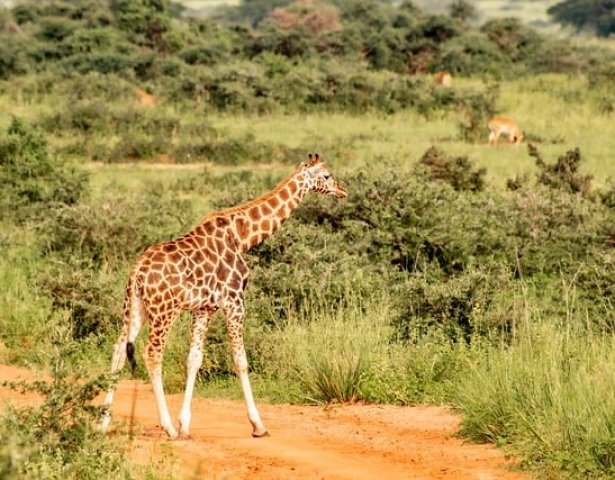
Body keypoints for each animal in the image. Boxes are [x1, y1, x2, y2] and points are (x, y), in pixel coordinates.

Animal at [103, 153, 348, 438]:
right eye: (327, 175)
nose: (343, 190)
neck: (242, 236)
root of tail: (137, 272)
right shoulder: (234, 301)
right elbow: (240, 360)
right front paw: (257, 425)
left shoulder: (204, 308)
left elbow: (194, 359)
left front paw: (185, 424)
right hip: (165, 310)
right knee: (152, 354)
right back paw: (167, 428)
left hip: (136, 307)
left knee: (119, 349)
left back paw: (102, 422)